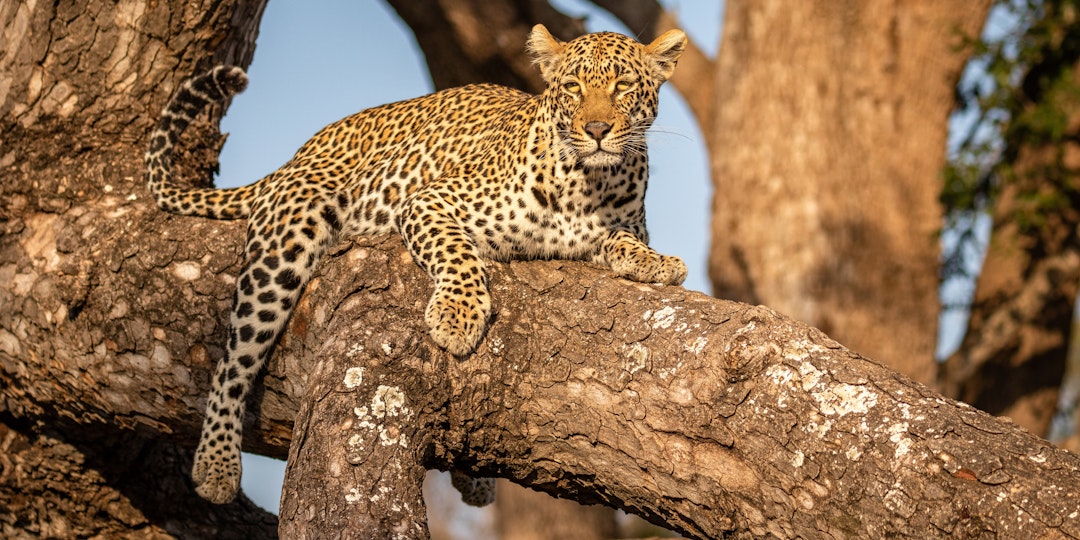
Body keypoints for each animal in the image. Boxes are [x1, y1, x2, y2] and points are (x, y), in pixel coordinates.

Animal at [143, 24, 686, 505]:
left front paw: (657, 262)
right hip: (286, 244)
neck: (590, 185)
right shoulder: (430, 200)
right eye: (573, 87)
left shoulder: (616, 226)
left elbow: (623, 240)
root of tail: (300, 153)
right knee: (232, 361)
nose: (596, 130)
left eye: (622, 87)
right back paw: (216, 464)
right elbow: (458, 253)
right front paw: (458, 316)